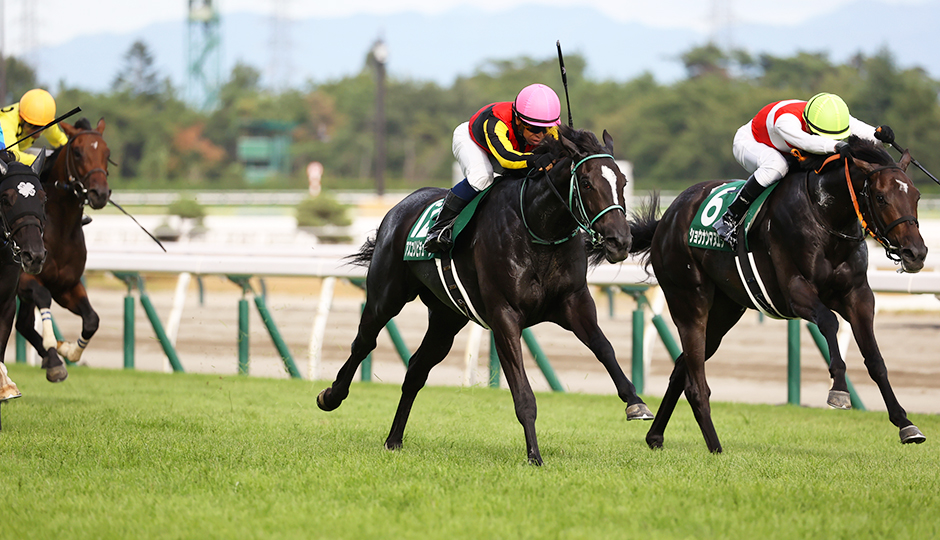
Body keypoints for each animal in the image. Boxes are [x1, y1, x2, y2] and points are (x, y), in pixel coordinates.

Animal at [15, 116, 111, 382]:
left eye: (107, 152)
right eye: (77, 152)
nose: (100, 193)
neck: (60, 229)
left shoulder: (66, 285)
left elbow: (92, 319)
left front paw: (68, 351)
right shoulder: (26, 279)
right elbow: (42, 296)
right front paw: (53, 346)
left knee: (23, 324)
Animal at [316, 125, 652, 464]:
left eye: (622, 182)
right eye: (586, 182)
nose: (620, 241)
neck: (539, 230)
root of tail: (403, 204)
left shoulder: (575, 303)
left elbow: (604, 347)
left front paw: (635, 402)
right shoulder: (504, 315)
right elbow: (522, 391)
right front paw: (534, 456)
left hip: (447, 318)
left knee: (417, 368)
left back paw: (394, 439)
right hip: (386, 295)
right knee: (364, 342)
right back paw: (330, 396)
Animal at [628, 135, 928, 452]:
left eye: (916, 196)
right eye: (881, 197)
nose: (916, 253)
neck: (825, 216)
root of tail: (667, 218)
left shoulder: (859, 296)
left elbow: (875, 360)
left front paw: (906, 424)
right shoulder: (795, 292)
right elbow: (829, 321)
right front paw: (838, 389)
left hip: (723, 313)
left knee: (680, 367)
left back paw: (655, 436)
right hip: (689, 301)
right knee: (695, 383)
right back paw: (715, 447)